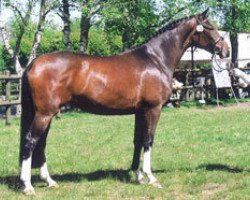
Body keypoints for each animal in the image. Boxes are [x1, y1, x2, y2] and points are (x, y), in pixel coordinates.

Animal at [19, 9, 229, 195]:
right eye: (210, 27)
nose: (225, 50)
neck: (155, 59)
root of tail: (34, 63)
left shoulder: (140, 111)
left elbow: (138, 141)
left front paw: (138, 176)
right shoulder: (153, 109)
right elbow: (148, 140)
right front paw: (151, 177)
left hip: (46, 113)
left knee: (41, 143)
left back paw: (49, 181)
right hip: (45, 114)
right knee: (31, 141)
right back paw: (28, 186)